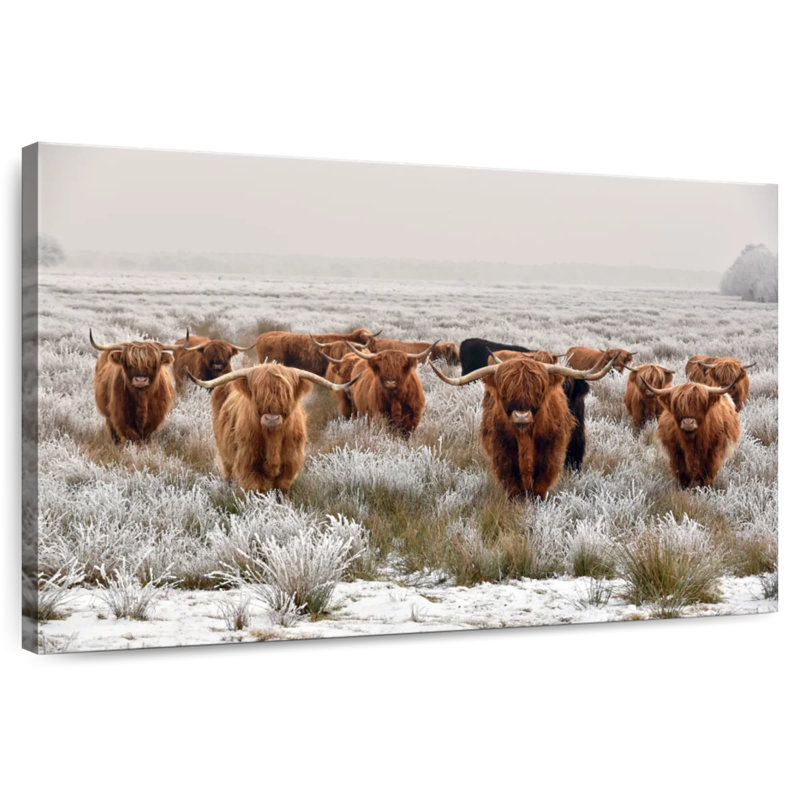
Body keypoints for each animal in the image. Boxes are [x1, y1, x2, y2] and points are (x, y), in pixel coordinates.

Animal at [188, 363, 359, 493]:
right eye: (258, 393)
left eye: (287, 393)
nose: (272, 418)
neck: (273, 439)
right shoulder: (247, 463)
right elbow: (256, 491)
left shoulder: (290, 464)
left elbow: (281, 491)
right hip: (225, 455)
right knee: (228, 473)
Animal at [429, 354, 619, 499]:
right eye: (505, 392)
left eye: (539, 391)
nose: (522, 416)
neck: (525, 437)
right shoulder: (503, 454)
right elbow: (513, 484)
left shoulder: (550, 455)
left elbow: (540, 485)